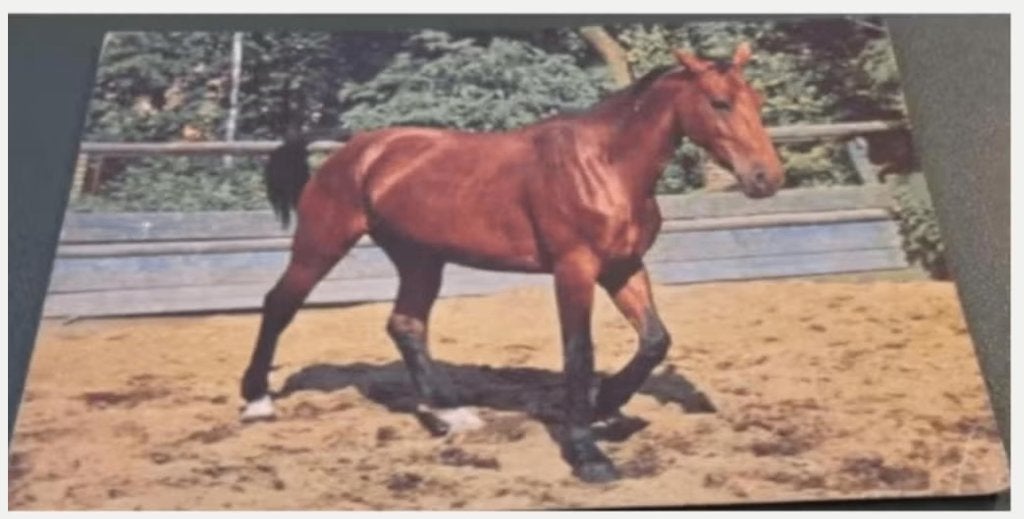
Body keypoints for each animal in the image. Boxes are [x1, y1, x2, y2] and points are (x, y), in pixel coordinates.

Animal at [239, 42, 784, 483]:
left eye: (756, 101)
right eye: (719, 102)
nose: (766, 178)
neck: (604, 167)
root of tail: (356, 148)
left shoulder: (622, 268)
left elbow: (654, 340)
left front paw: (607, 405)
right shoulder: (574, 270)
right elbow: (578, 353)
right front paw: (589, 455)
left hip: (421, 259)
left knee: (406, 325)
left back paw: (450, 415)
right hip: (322, 243)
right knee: (279, 304)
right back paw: (256, 401)